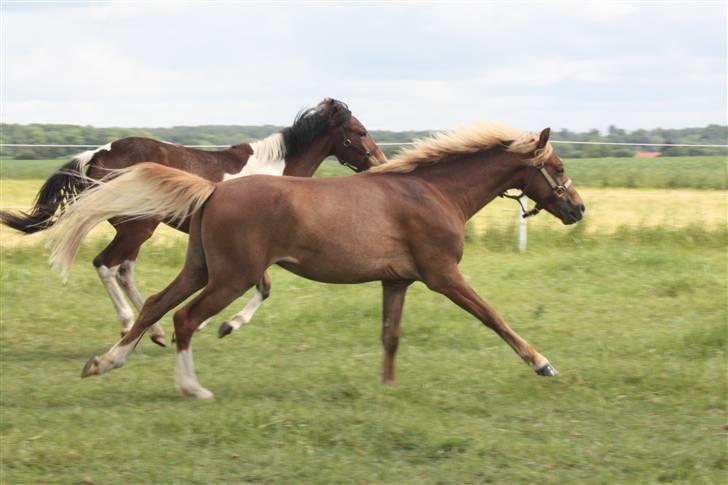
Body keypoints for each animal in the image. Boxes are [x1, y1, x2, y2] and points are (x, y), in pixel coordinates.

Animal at [0, 97, 386, 344]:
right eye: (360, 131)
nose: (379, 161)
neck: (275, 171)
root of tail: (96, 155)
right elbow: (262, 286)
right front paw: (226, 325)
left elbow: (257, 286)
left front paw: (207, 325)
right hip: (138, 226)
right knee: (106, 265)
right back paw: (129, 325)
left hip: (135, 229)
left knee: (123, 270)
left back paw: (153, 331)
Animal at [45, 123, 584, 398]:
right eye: (558, 168)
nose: (578, 209)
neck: (433, 192)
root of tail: (213, 190)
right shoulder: (443, 275)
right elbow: (493, 316)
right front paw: (543, 363)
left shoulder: (398, 282)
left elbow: (390, 335)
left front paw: (387, 388)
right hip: (230, 275)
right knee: (183, 316)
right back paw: (193, 387)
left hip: (201, 268)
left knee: (157, 303)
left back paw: (106, 360)